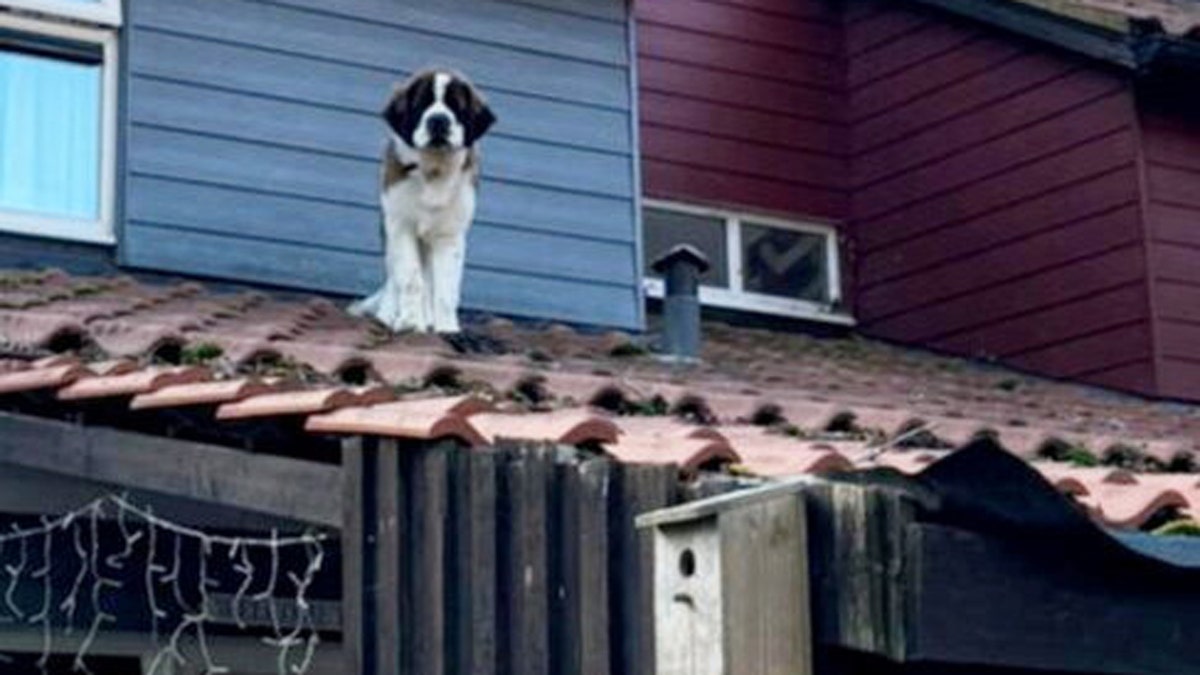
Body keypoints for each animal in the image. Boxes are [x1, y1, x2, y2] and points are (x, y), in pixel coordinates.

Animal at [350, 68, 494, 331]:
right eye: (421, 105)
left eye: (455, 106)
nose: (438, 120)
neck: (433, 170)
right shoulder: (400, 226)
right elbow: (409, 279)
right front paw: (410, 322)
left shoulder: (449, 235)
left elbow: (446, 288)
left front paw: (447, 328)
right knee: (395, 278)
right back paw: (389, 315)